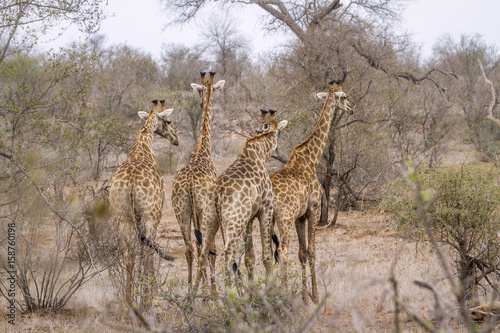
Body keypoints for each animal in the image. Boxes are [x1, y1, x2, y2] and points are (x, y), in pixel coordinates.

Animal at [108, 99, 179, 308]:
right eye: (169, 121)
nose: (176, 139)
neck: (143, 146)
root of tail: (131, 183)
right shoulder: (155, 214)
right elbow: (147, 250)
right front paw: (148, 292)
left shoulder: (135, 218)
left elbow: (138, 249)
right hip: (150, 216)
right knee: (148, 251)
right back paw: (149, 298)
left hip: (123, 217)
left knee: (129, 252)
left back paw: (128, 301)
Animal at [203, 118, 290, 278]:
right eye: (279, 131)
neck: (261, 153)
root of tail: (218, 194)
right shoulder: (266, 209)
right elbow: (266, 254)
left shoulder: (249, 218)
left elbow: (249, 257)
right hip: (234, 222)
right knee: (228, 255)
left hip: (211, 219)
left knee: (203, 253)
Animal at [270, 80, 352, 300]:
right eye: (344, 96)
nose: (351, 108)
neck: (311, 159)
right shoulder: (313, 209)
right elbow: (312, 251)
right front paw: (315, 296)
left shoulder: (300, 216)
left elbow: (302, 253)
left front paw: (305, 297)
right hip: (284, 218)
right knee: (282, 252)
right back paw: (283, 296)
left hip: (264, 219)